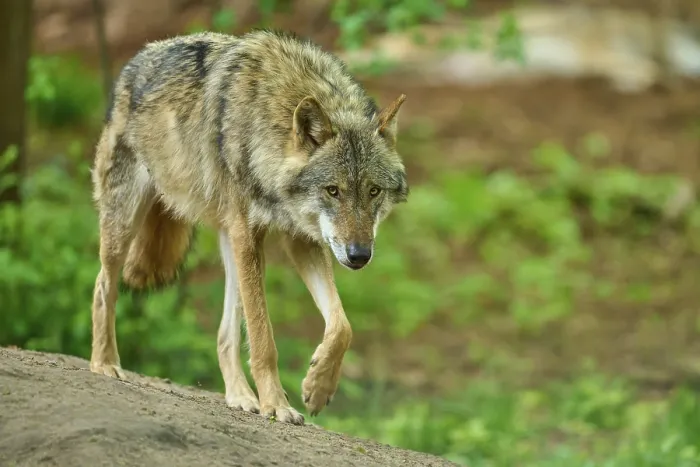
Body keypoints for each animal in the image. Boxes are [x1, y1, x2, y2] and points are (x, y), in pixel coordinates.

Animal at [88, 29, 409, 425]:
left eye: (373, 191)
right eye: (333, 190)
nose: (359, 255)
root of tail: (136, 60)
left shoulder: (299, 239)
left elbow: (342, 325)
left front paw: (318, 387)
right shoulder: (250, 234)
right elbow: (263, 339)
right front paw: (277, 404)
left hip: (231, 250)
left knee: (225, 336)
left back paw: (240, 397)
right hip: (129, 223)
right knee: (103, 286)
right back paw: (104, 363)